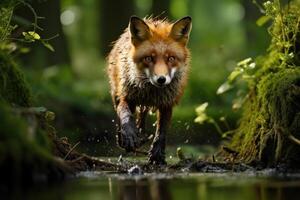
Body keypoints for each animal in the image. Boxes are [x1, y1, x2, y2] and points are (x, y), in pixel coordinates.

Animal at [108, 16, 192, 164]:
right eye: (148, 58)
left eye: (171, 58)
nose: (161, 79)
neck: (151, 92)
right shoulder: (126, 97)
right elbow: (125, 115)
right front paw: (129, 135)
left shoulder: (166, 104)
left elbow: (161, 131)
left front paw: (157, 154)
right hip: (116, 93)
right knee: (119, 114)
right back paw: (123, 139)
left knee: (142, 118)